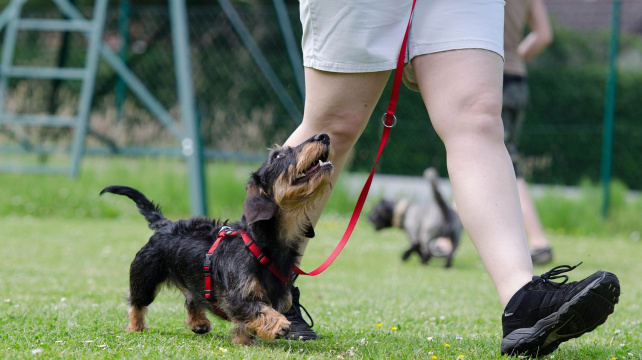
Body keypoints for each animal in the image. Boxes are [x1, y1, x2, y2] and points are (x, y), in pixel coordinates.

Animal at [101, 134, 330, 344]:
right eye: (278, 155)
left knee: (191, 298)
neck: (259, 244)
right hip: (145, 278)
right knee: (136, 303)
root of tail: (165, 224)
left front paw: (243, 340)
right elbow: (258, 310)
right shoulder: (235, 298)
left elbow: (248, 322)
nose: (323, 136)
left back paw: (199, 322)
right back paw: (136, 327)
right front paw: (279, 324)